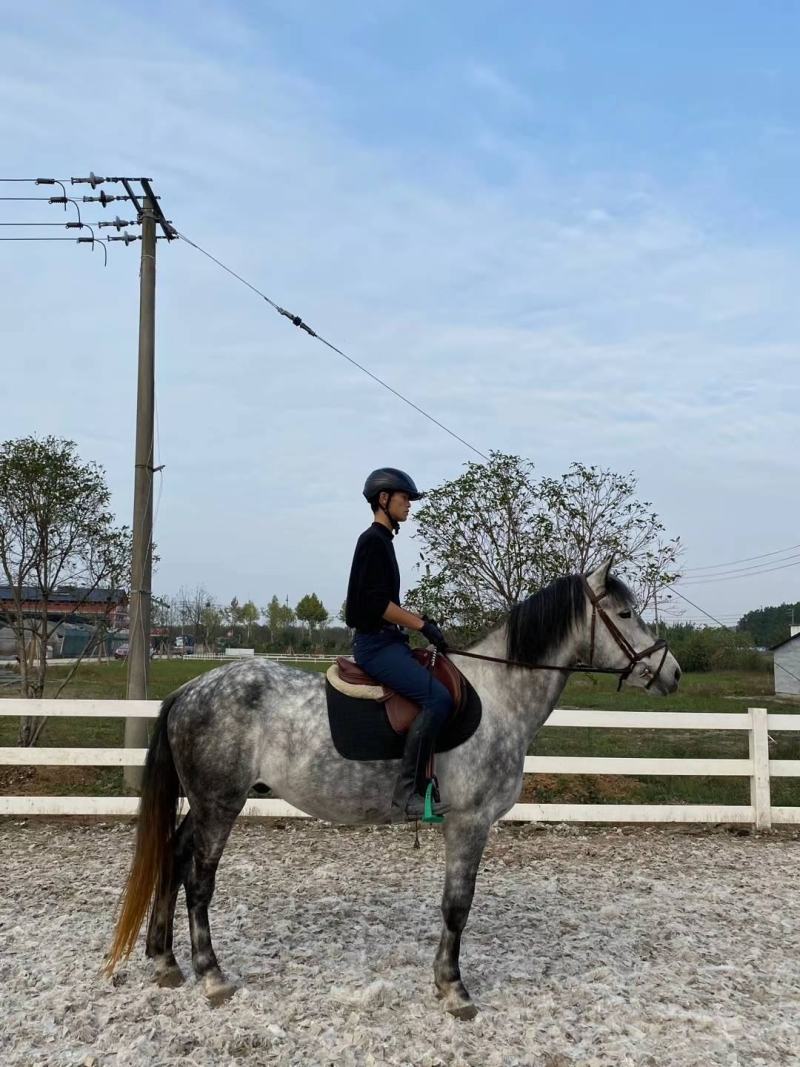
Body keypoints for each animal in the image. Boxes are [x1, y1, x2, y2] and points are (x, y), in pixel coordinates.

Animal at [106, 560, 681, 1019]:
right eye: (624, 614)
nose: (672, 671)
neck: (499, 695)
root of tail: (189, 689)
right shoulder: (469, 822)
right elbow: (457, 905)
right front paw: (454, 989)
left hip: (204, 804)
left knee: (172, 857)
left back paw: (165, 961)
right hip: (220, 804)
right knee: (199, 882)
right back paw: (211, 974)